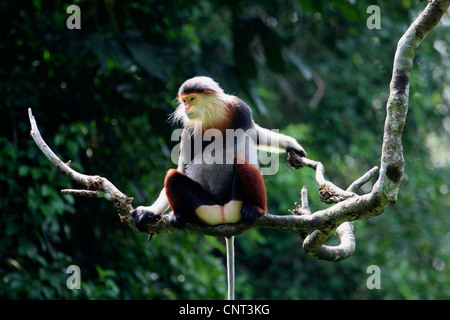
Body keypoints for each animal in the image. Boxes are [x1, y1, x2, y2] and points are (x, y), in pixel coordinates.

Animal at [130, 76, 306, 298]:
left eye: (191, 99)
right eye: (184, 100)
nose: (185, 107)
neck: (211, 115)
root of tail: (223, 211)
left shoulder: (240, 109)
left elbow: (256, 133)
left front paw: (292, 144)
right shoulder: (189, 129)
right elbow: (182, 165)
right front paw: (149, 211)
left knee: (242, 160)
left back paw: (255, 208)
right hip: (206, 204)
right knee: (172, 175)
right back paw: (181, 215)